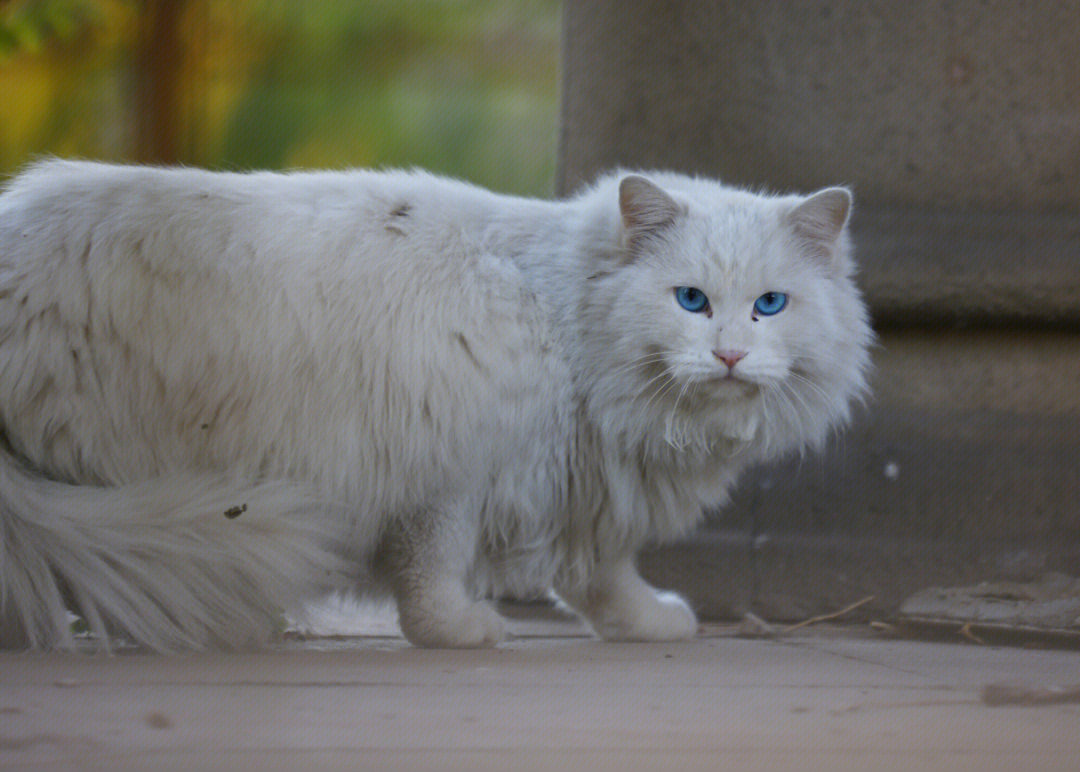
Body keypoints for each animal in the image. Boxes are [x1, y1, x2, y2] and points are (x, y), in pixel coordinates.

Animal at [0, 159, 872, 647]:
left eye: (769, 306)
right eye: (691, 300)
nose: (728, 354)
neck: (558, 313)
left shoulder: (581, 486)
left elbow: (604, 577)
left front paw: (648, 624)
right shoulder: (452, 476)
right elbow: (434, 574)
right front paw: (458, 634)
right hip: (144, 472)